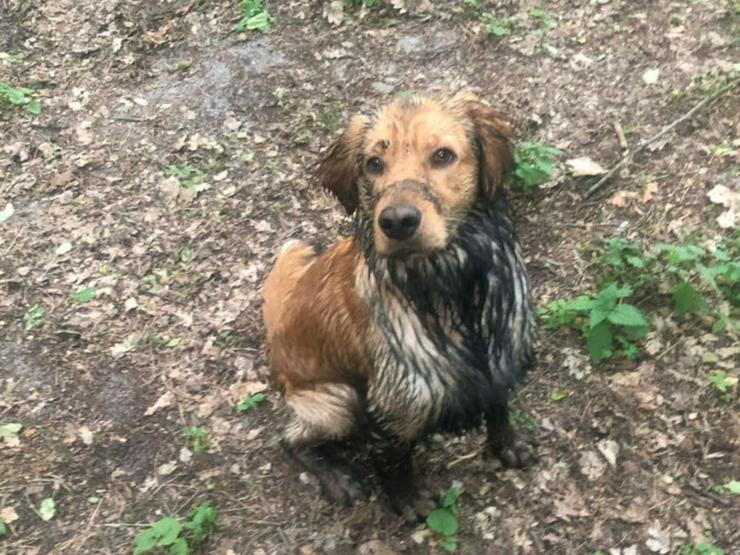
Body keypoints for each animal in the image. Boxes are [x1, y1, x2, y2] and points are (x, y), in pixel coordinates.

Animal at [264, 92, 536, 516]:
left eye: (443, 155)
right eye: (374, 164)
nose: (397, 222)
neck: (450, 288)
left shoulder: (500, 358)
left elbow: (499, 409)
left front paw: (507, 446)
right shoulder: (396, 405)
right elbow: (395, 463)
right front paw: (408, 502)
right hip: (338, 402)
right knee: (290, 441)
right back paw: (336, 477)